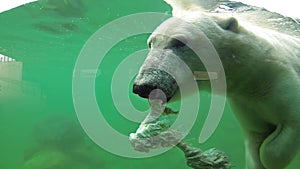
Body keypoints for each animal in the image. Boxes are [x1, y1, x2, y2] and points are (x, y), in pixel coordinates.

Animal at [132, 0, 300, 169]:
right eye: (150, 43)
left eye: (179, 42)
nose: (143, 86)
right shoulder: (246, 103)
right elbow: (256, 136)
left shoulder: (281, 79)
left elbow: (286, 131)